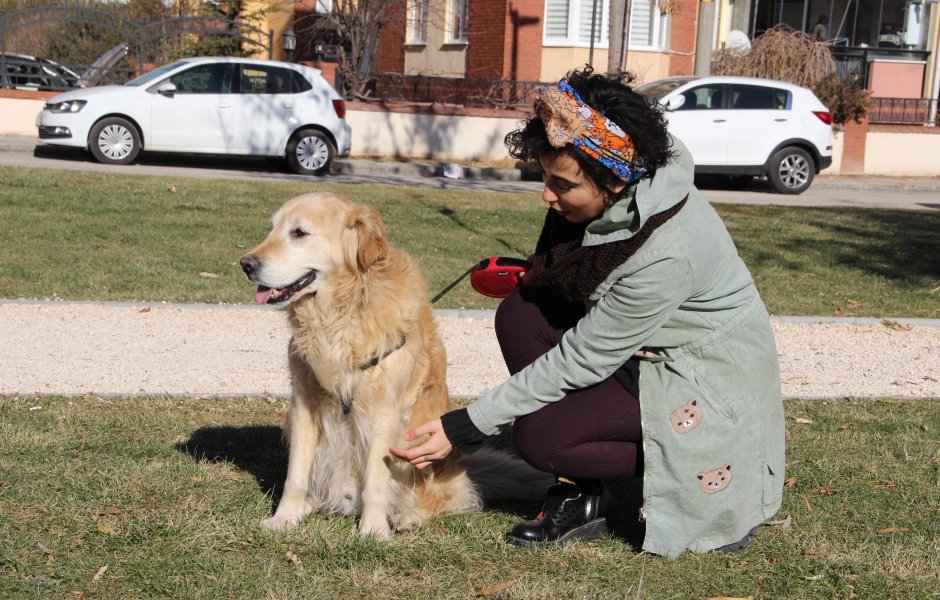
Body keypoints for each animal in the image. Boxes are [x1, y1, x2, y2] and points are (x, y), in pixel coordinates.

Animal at [239, 193, 482, 540]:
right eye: (272, 229)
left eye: (299, 232)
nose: (246, 264)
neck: (340, 313)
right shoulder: (304, 403)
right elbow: (295, 475)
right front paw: (283, 518)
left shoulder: (382, 412)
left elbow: (376, 482)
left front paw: (373, 531)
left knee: (438, 500)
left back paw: (407, 516)